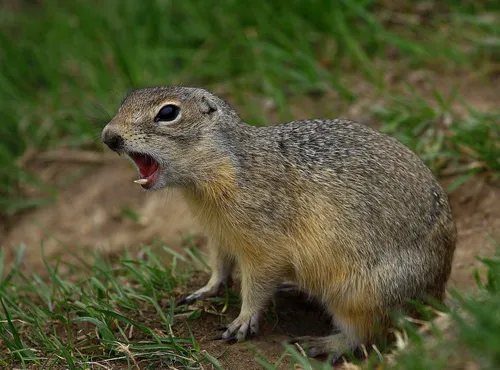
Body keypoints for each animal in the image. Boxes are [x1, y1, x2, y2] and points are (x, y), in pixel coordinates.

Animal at [101, 86, 458, 364]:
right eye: (125, 99)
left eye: (168, 112)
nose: (108, 137)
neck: (225, 167)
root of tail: (437, 295)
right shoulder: (219, 235)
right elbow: (220, 264)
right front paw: (205, 290)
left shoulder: (263, 246)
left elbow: (256, 285)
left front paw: (241, 322)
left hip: (363, 295)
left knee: (368, 333)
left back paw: (324, 344)